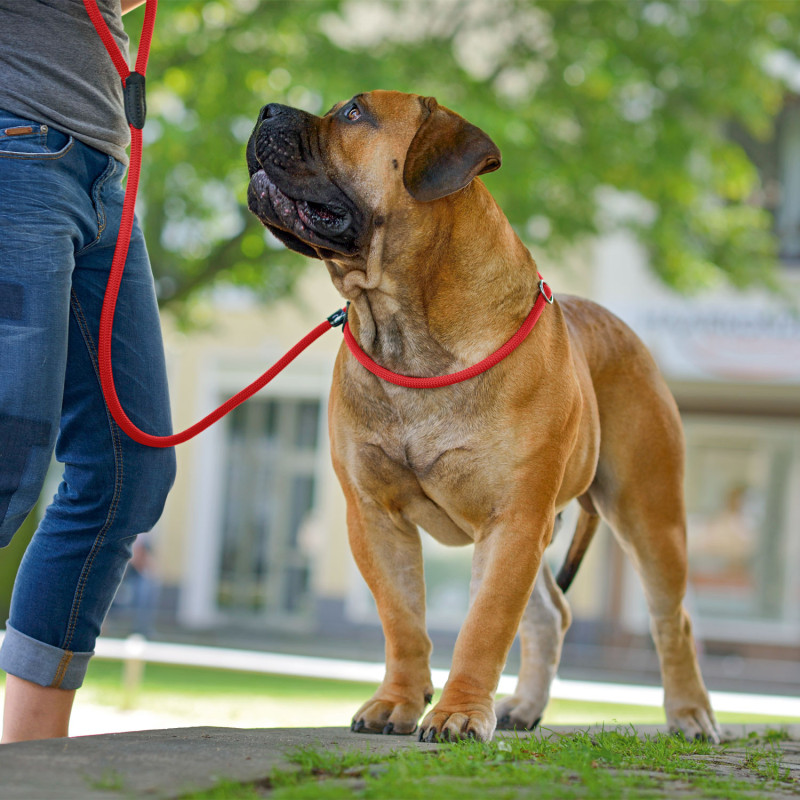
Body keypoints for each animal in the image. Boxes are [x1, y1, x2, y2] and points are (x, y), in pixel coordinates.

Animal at [244, 89, 720, 744]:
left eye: (354, 114)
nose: (265, 108)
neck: (404, 325)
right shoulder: (374, 517)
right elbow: (402, 619)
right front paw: (398, 702)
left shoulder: (512, 520)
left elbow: (485, 623)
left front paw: (460, 713)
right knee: (550, 614)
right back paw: (525, 707)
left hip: (650, 513)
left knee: (672, 621)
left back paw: (690, 714)